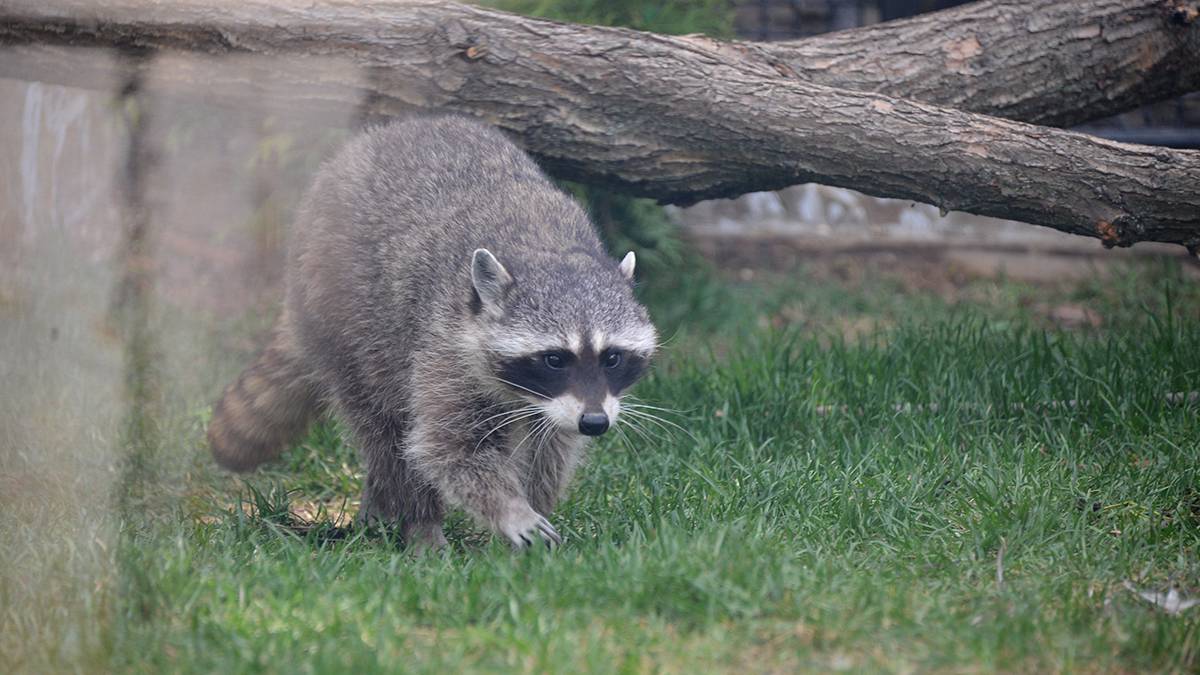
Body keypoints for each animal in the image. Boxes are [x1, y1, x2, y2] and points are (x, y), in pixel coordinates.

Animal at [206, 115, 657, 547]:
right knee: (388, 429)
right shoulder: (446, 345)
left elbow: (550, 448)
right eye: (553, 359)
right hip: (347, 317)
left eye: (612, 357)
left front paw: (534, 501)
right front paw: (510, 509)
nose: (595, 422)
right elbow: (445, 446)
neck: (547, 250)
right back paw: (418, 522)